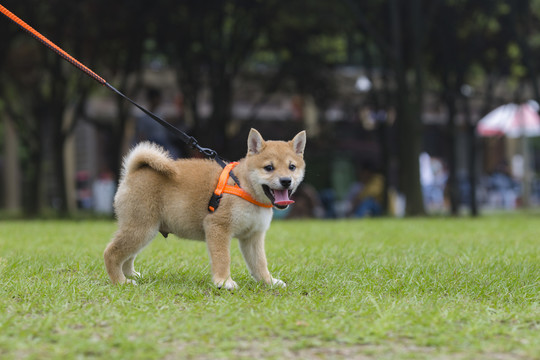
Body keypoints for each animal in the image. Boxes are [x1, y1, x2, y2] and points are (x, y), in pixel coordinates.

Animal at [103, 129, 306, 290]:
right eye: (269, 167)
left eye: (292, 167)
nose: (286, 181)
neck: (243, 186)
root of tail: (133, 172)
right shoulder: (217, 227)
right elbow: (223, 258)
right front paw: (224, 282)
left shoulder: (253, 237)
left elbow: (259, 264)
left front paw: (269, 282)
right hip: (141, 229)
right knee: (111, 253)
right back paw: (120, 281)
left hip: (143, 231)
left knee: (127, 256)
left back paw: (130, 274)